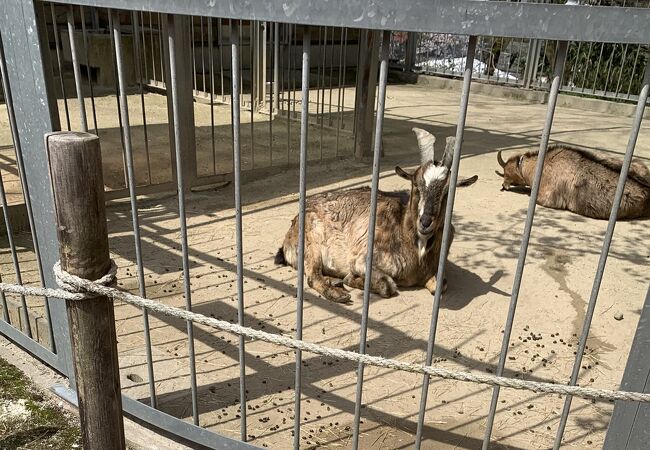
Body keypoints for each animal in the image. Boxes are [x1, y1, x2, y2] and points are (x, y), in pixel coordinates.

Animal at [274, 127, 476, 302]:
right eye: (416, 185)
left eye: (447, 192)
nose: (425, 222)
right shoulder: (362, 260)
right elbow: (387, 285)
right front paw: (350, 279)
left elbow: (441, 286)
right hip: (311, 244)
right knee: (312, 276)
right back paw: (338, 293)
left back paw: (335, 282)